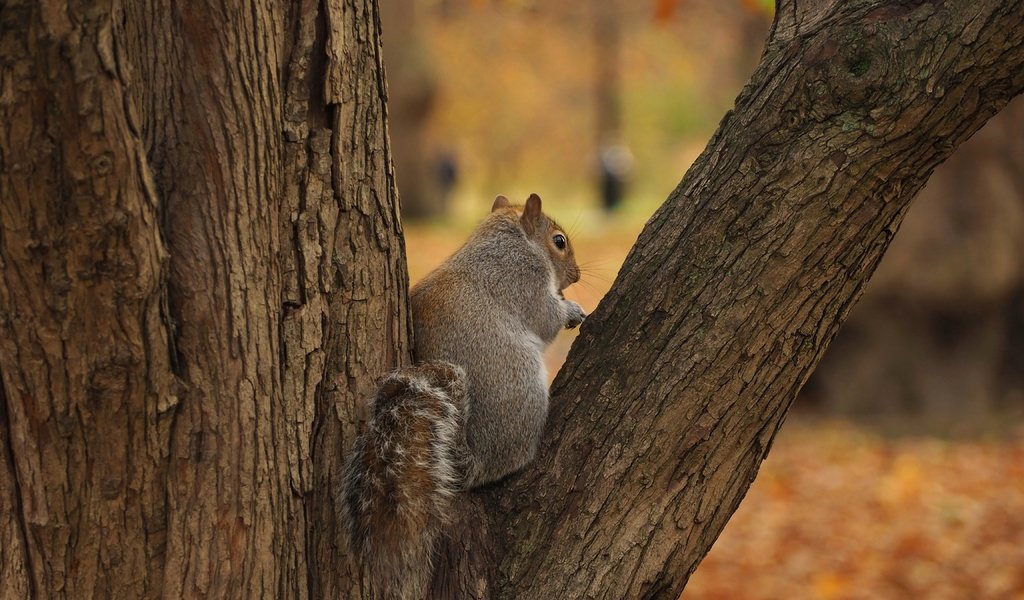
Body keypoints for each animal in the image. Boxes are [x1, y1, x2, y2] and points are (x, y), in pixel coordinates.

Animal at [344, 193, 585, 593]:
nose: (578, 276)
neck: (505, 239)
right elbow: (545, 317)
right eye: (559, 241)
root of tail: (473, 459)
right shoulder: (523, 280)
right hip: (522, 387)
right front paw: (572, 309)